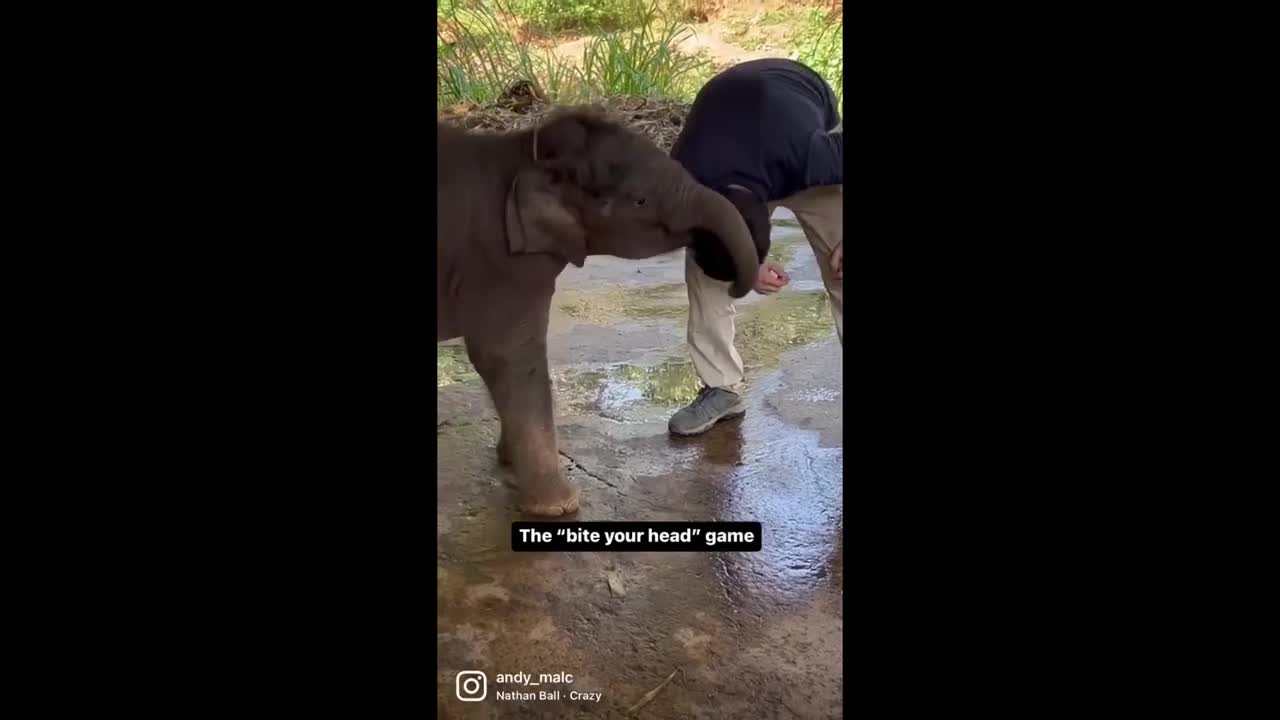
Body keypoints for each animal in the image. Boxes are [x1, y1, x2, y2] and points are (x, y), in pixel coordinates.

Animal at [440, 106, 757, 512]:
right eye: (640, 201)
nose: (733, 284)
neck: (527, 150)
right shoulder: (502, 263)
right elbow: (505, 354)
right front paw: (560, 506)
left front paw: (509, 463)